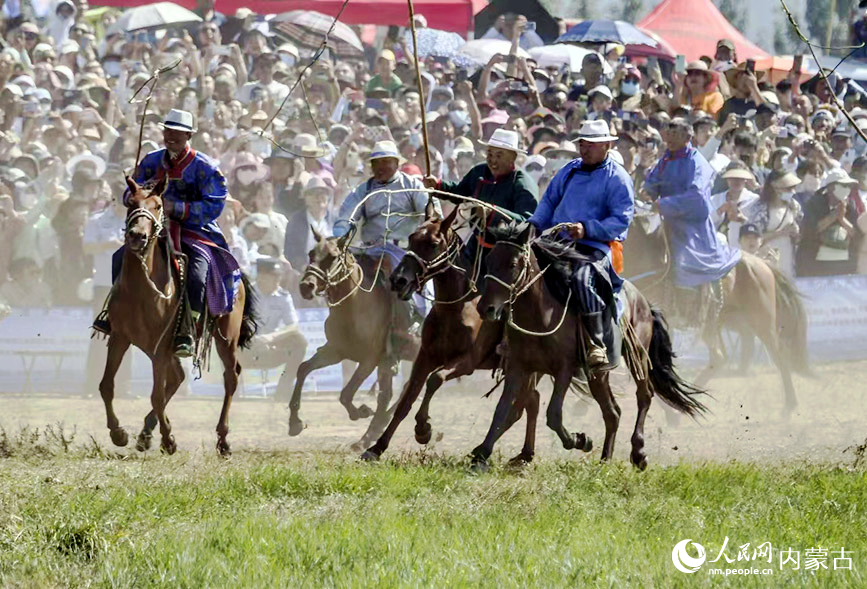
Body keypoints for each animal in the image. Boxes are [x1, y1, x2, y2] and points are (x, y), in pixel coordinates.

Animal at [99, 177, 258, 458]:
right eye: (131, 203)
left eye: (158, 205)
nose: (137, 235)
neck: (141, 289)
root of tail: (238, 274)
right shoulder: (120, 338)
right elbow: (107, 385)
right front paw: (118, 433)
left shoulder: (161, 346)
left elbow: (156, 395)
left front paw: (168, 440)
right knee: (177, 378)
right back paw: (145, 434)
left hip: (225, 338)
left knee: (231, 376)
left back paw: (223, 440)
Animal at [294, 227, 422, 448]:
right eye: (311, 254)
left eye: (333, 256)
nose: (306, 286)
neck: (354, 306)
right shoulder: (335, 350)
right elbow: (303, 369)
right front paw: (294, 422)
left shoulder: (370, 359)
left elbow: (346, 393)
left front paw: (361, 411)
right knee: (396, 391)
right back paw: (373, 432)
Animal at [360, 204, 544, 462]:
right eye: (412, 238)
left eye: (434, 243)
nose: (399, 280)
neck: (455, 309)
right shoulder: (425, 357)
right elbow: (407, 399)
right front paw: (377, 447)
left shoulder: (466, 362)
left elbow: (435, 379)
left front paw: (423, 429)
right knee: (532, 401)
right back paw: (523, 454)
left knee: (526, 403)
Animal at [478, 223, 708, 470]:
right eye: (489, 259)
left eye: (512, 264)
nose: (485, 308)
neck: (542, 314)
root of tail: (643, 301)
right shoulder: (518, 366)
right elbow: (502, 410)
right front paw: (480, 455)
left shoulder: (564, 369)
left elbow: (553, 415)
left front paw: (580, 440)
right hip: (599, 374)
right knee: (612, 412)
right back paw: (605, 459)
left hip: (638, 357)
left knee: (644, 395)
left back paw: (638, 453)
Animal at [620, 211, 812, 414]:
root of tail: (762, 263)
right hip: (727, 321)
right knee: (725, 357)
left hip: (760, 322)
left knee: (775, 356)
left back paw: (789, 406)